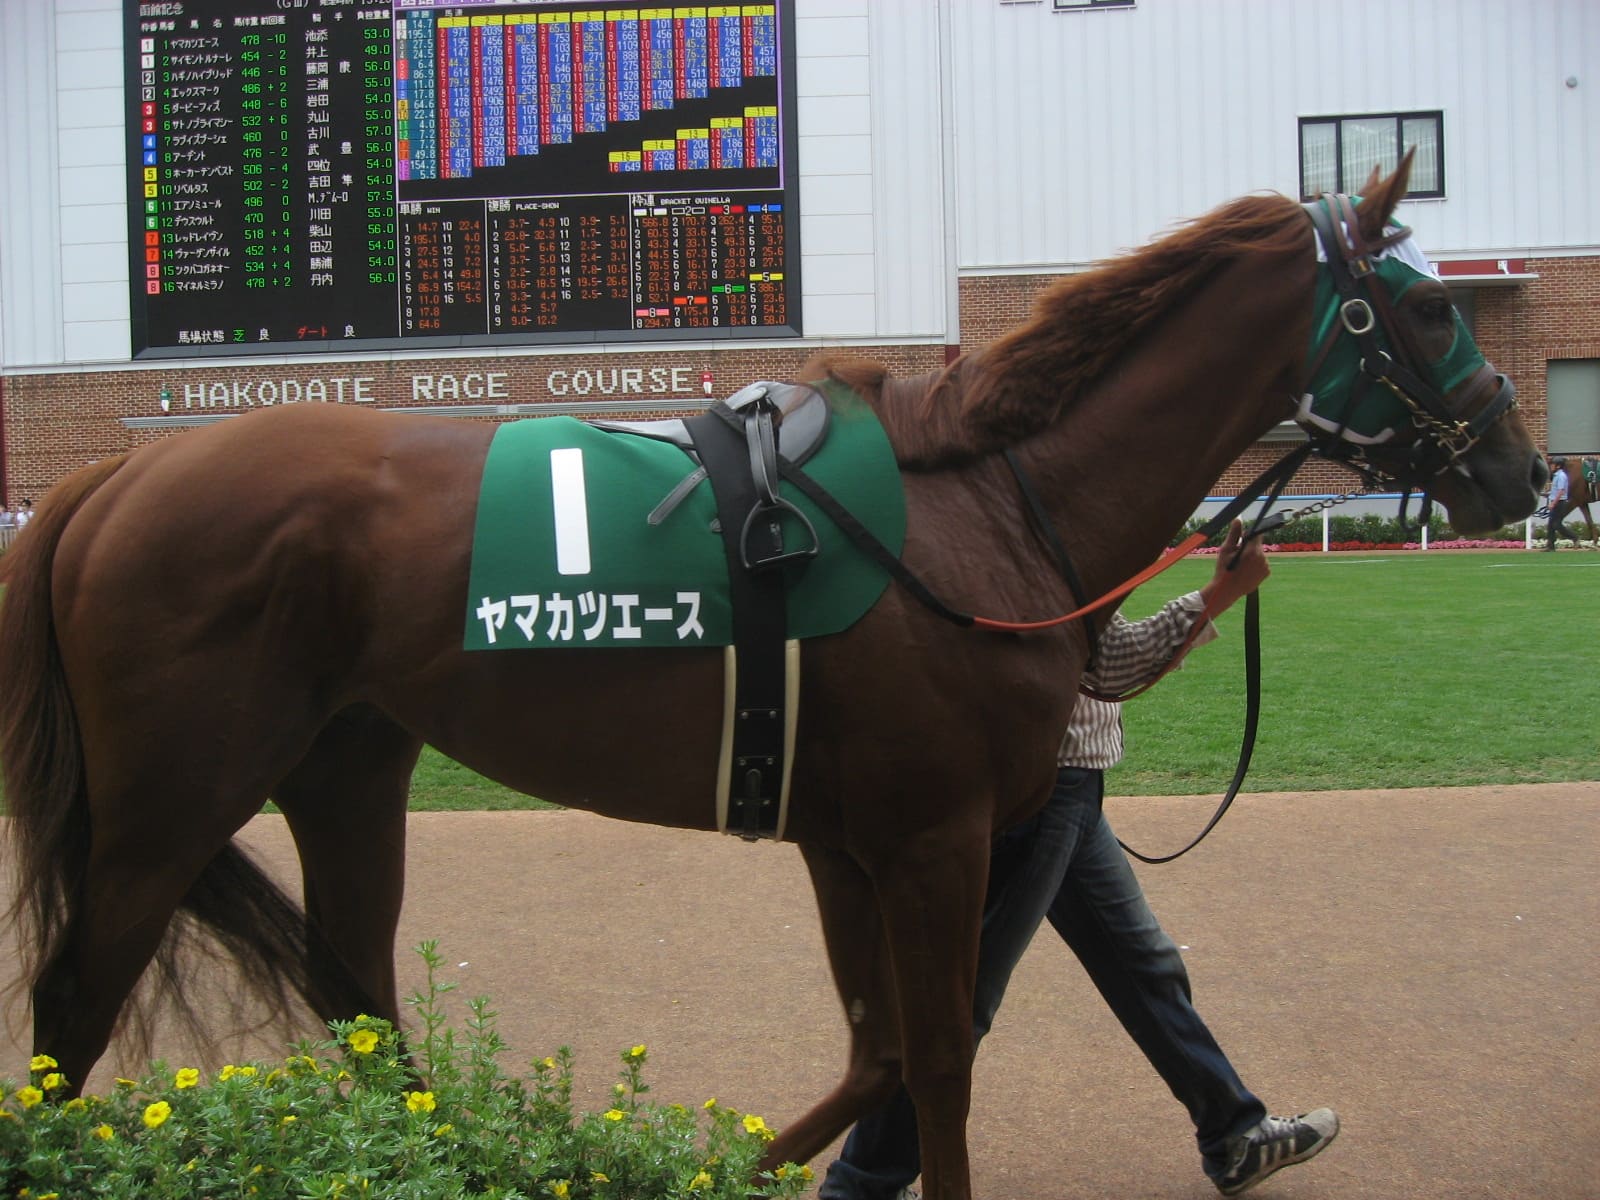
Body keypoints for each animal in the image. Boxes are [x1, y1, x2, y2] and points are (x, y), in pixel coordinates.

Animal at [3, 162, 1548, 1200]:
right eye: (1424, 307)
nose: (1526, 472)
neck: (989, 507)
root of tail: (112, 477)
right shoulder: (931, 837)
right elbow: (940, 1062)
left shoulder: (847, 838)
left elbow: (879, 1056)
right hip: (171, 798)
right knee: (75, 1009)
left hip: (348, 762)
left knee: (359, 997)